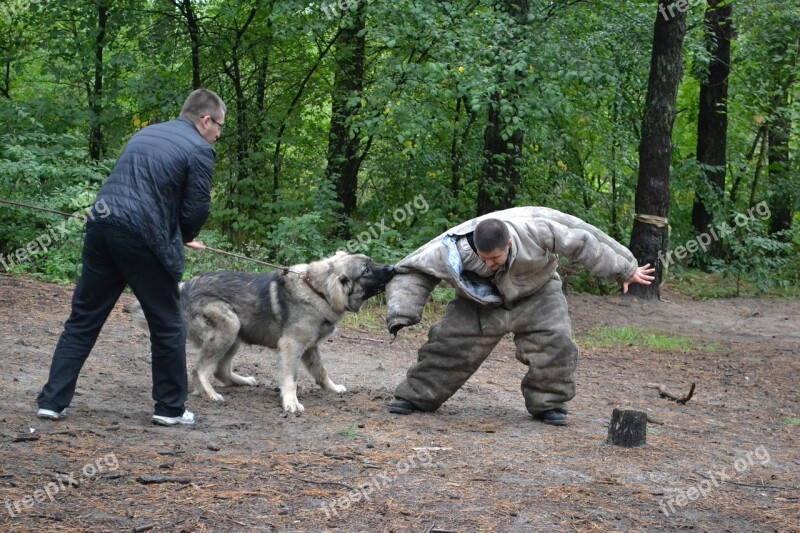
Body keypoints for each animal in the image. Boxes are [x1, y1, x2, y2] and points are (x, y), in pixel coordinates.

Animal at [128, 252, 396, 412]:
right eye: (366, 271)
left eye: (372, 262)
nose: (393, 268)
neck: (317, 291)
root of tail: (184, 287)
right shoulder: (291, 346)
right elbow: (291, 379)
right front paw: (291, 402)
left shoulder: (311, 348)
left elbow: (321, 372)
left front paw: (332, 388)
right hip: (229, 326)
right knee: (200, 370)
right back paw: (210, 393)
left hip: (237, 333)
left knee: (221, 370)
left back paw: (241, 381)